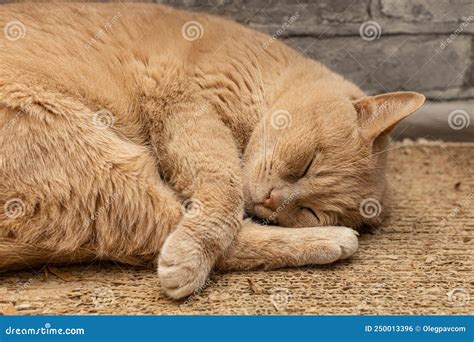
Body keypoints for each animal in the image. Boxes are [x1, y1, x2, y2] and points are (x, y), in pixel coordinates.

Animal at [0, 2, 424, 298]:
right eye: (307, 163)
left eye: (310, 212)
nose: (272, 201)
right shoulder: (188, 110)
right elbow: (225, 192)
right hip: (101, 155)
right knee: (169, 227)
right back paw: (334, 241)